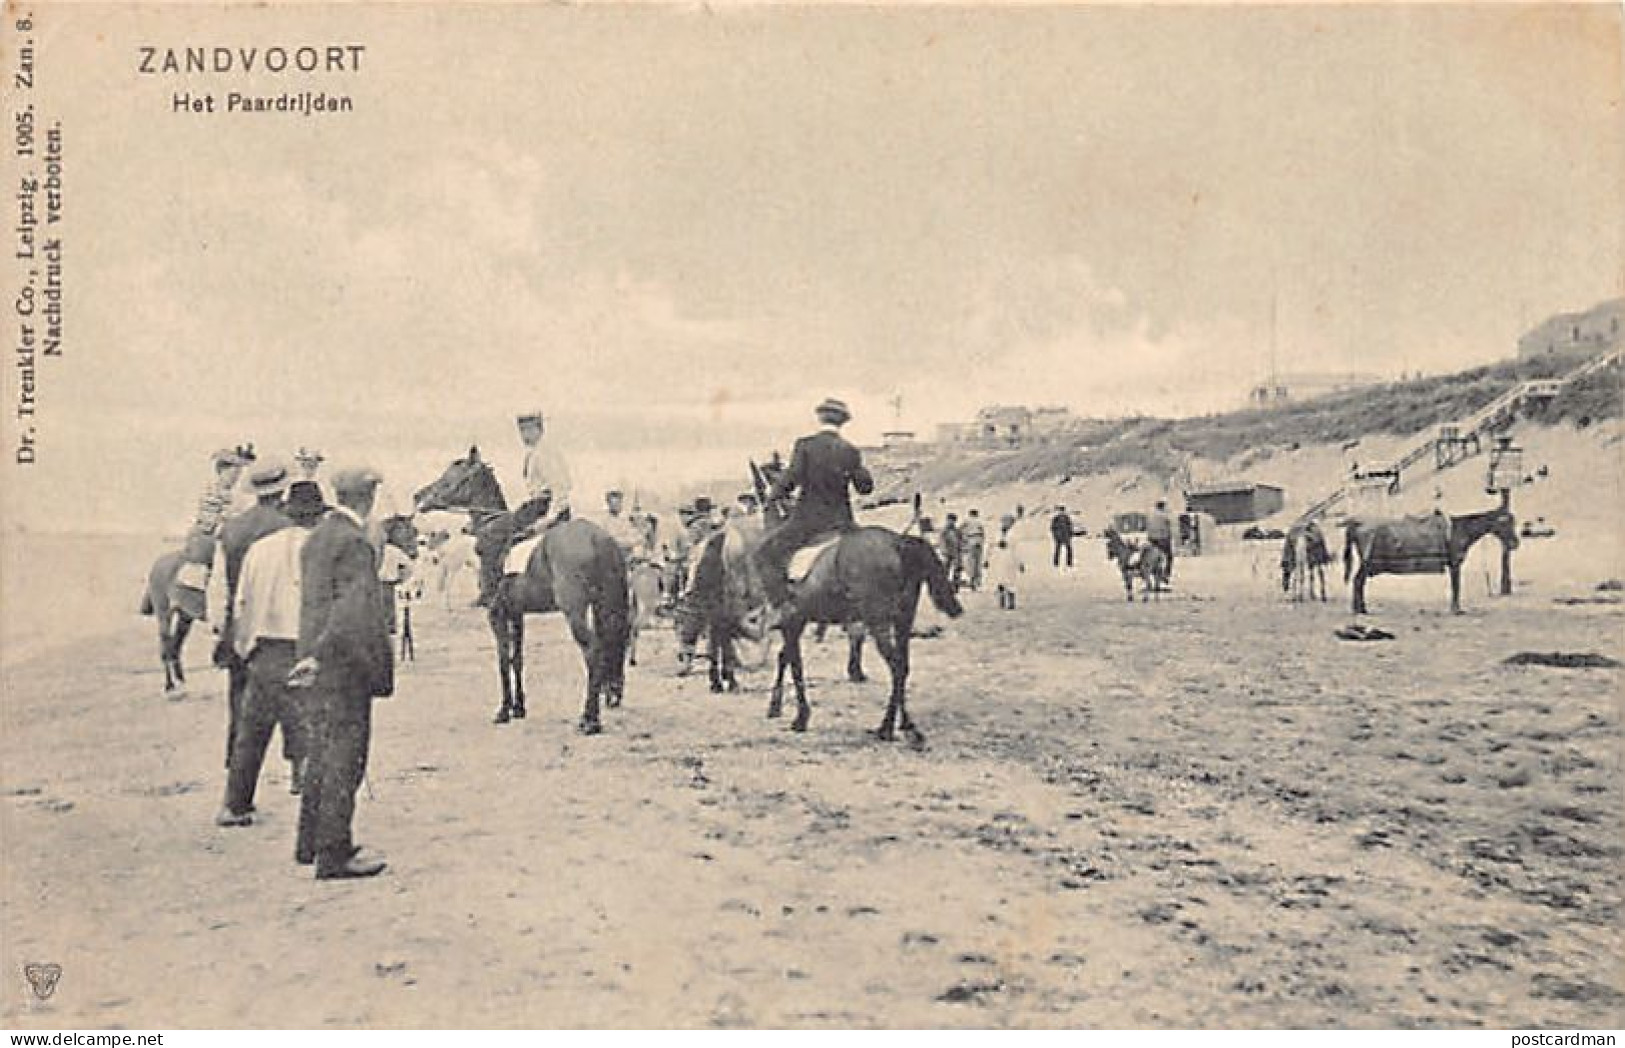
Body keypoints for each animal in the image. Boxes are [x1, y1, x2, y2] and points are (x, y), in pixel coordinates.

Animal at [139, 532, 217, 695]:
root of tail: (158, 563)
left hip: (185, 615)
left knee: (176, 644)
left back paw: (180, 679)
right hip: (164, 613)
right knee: (166, 646)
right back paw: (169, 685)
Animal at [412, 454, 627, 731]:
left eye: (451, 476)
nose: (418, 496)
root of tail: (600, 539)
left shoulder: (496, 613)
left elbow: (503, 659)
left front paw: (504, 710)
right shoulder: (516, 613)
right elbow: (518, 659)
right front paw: (519, 707)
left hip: (575, 612)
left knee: (593, 651)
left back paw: (589, 719)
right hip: (604, 607)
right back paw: (609, 698)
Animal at [1339, 503, 1514, 614]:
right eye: (1506, 523)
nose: (1515, 543)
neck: (1460, 529)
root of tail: (1356, 522)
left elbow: (1455, 586)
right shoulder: (1455, 564)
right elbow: (1456, 586)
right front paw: (1456, 609)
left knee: (1359, 582)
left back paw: (1360, 608)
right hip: (1367, 562)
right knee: (1358, 581)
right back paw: (1360, 609)